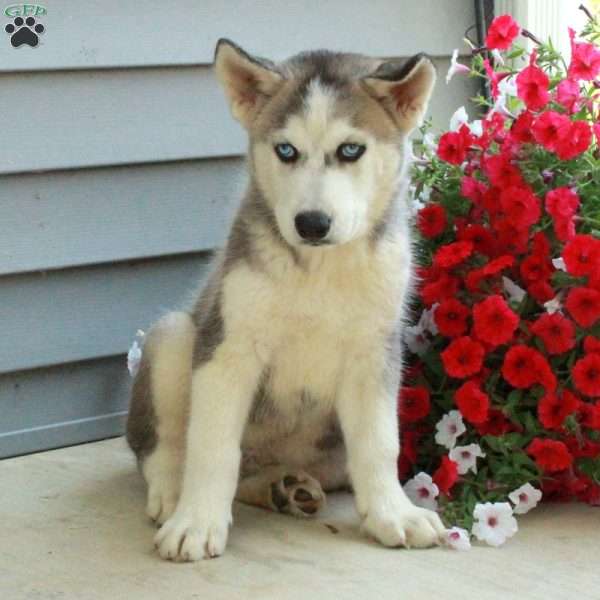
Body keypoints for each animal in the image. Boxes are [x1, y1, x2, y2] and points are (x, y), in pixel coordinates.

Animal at [127, 39, 446, 560]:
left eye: (351, 149)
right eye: (286, 150)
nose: (312, 223)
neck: (320, 271)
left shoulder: (375, 350)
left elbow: (380, 443)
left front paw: (393, 513)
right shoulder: (229, 348)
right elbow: (211, 445)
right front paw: (196, 523)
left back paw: (286, 488)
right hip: (175, 335)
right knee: (166, 444)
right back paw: (175, 493)